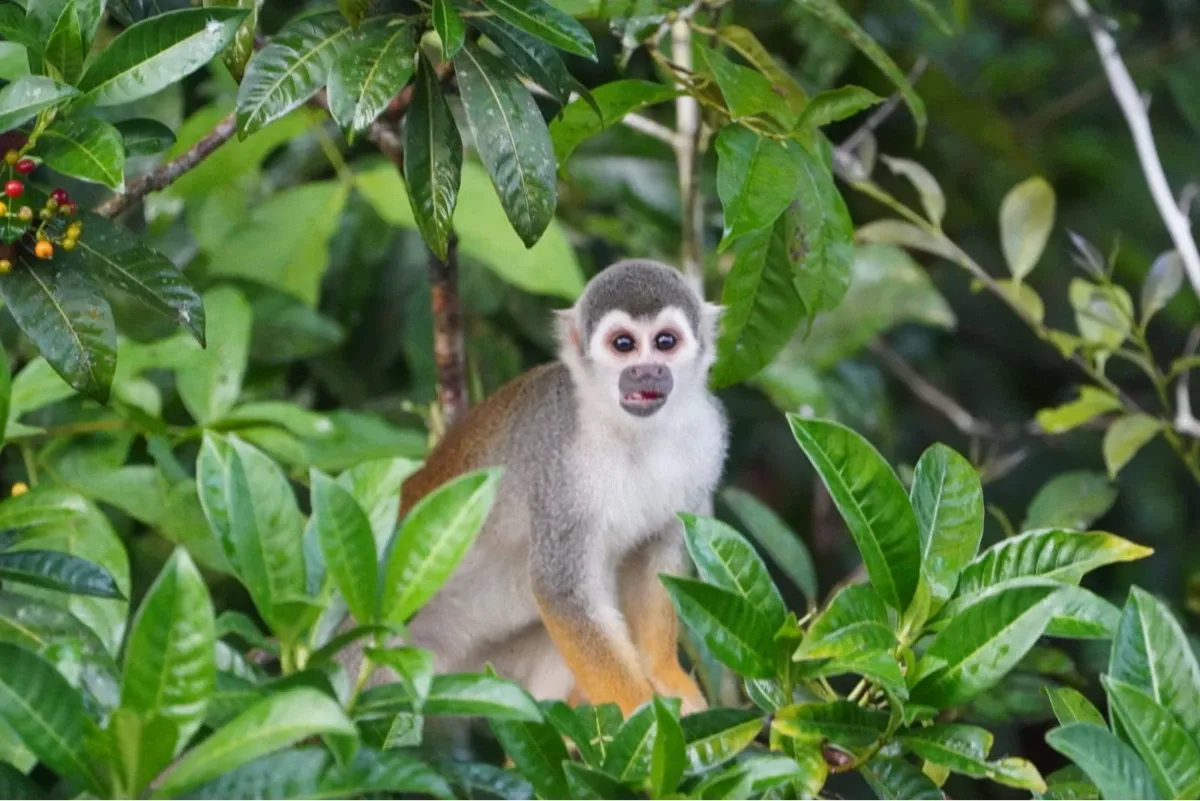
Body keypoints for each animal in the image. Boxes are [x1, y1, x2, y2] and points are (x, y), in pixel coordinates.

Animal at [339, 259, 728, 723]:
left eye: (665, 342)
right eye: (624, 344)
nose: (647, 371)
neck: (634, 433)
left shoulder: (706, 439)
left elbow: (657, 556)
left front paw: (665, 675)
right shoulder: (560, 466)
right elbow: (560, 590)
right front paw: (646, 717)